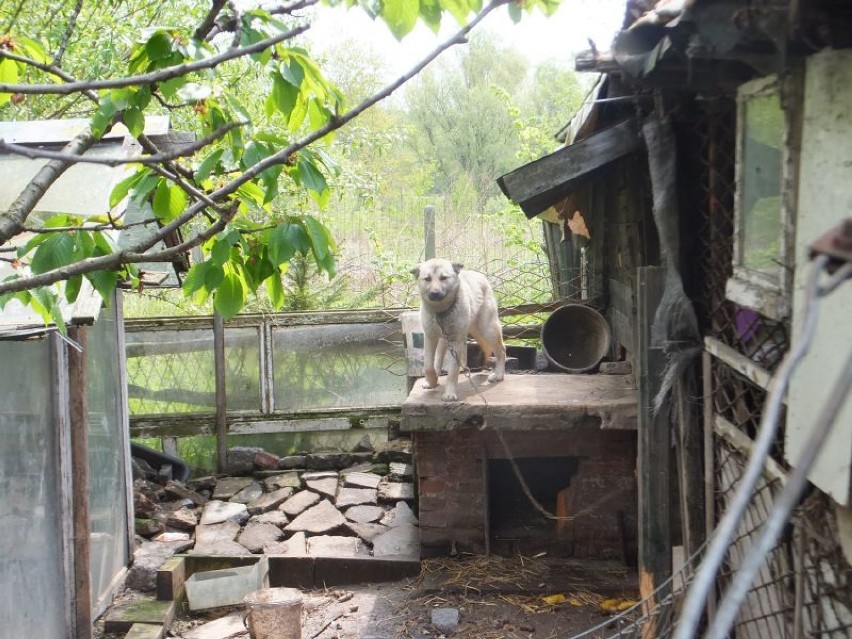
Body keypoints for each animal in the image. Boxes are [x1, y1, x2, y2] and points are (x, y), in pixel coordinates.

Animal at [412, 258, 506, 400]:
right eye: (427, 279)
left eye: (443, 278)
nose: (434, 293)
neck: (441, 312)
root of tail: (480, 276)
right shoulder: (430, 337)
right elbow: (428, 365)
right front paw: (432, 381)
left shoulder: (456, 341)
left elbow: (452, 371)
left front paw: (450, 394)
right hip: (449, 337)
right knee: (438, 357)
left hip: (487, 330)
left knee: (501, 350)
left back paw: (498, 375)